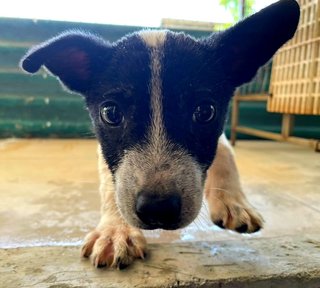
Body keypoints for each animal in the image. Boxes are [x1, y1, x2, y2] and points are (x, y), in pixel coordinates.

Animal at [20, 0, 300, 270]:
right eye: (110, 113)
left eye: (205, 111)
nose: (158, 209)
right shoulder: (107, 153)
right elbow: (112, 184)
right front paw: (115, 229)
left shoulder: (218, 135)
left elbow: (226, 155)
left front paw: (233, 202)